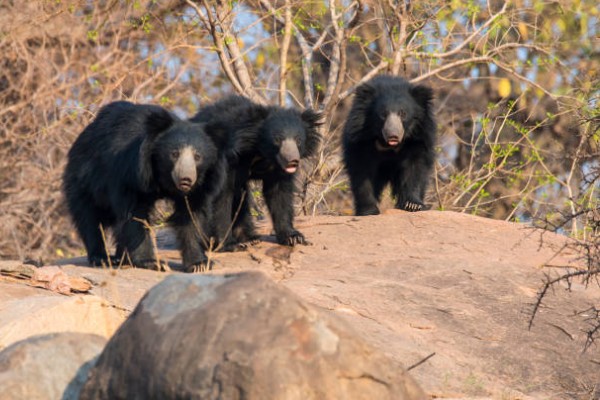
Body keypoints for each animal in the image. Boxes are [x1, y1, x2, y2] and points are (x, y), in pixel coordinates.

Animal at [62, 101, 225, 272]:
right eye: (174, 154)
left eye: (198, 156)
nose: (186, 180)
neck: (162, 176)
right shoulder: (131, 174)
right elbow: (135, 214)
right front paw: (152, 262)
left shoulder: (200, 187)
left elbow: (190, 217)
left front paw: (199, 264)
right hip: (84, 178)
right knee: (89, 218)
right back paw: (103, 258)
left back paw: (122, 258)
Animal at [193, 95, 324, 248]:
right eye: (278, 139)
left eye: (298, 140)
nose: (293, 160)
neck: (261, 152)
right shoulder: (230, 159)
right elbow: (222, 196)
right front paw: (228, 244)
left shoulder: (278, 169)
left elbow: (280, 195)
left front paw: (293, 237)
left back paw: (249, 238)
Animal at [342, 76, 436, 217]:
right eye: (383, 114)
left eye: (403, 113)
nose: (393, 136)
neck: (388, 145)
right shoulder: (360, 141)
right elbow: (362, 172)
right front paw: (368, 210)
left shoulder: (418, 140)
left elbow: (415, 169)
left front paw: (412, 205)